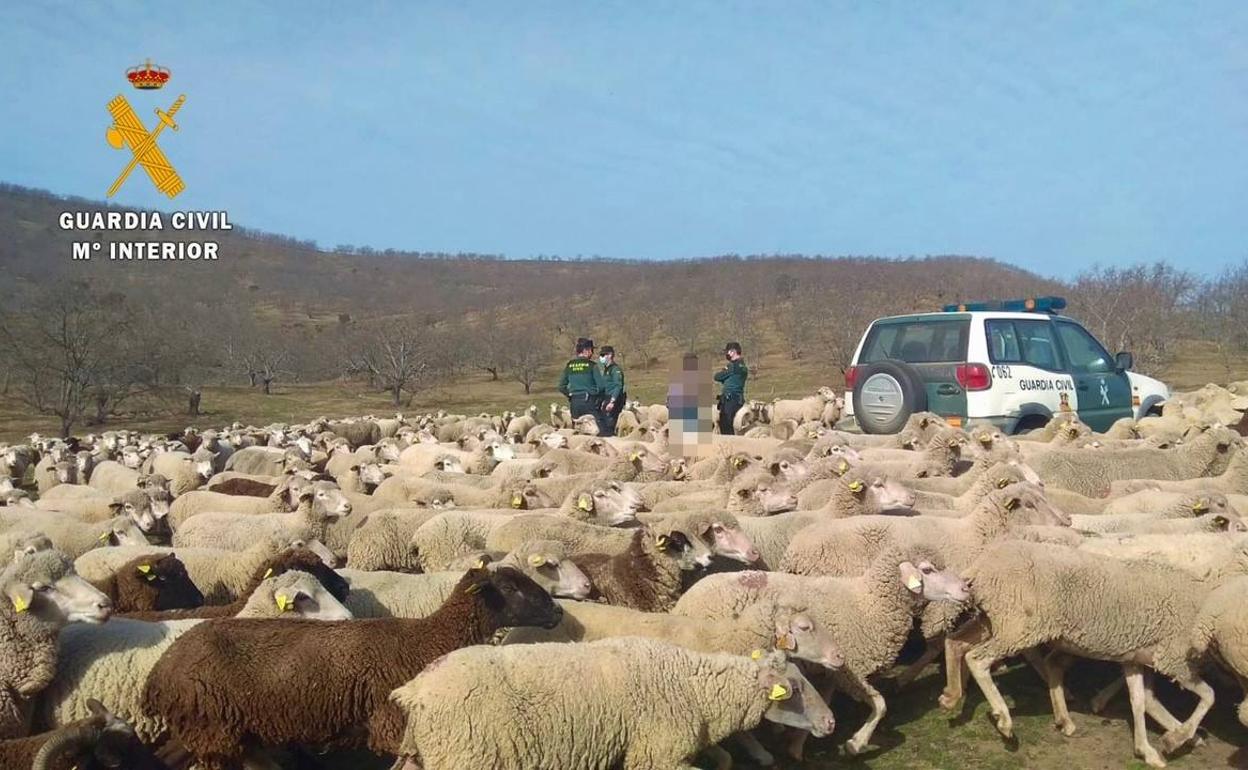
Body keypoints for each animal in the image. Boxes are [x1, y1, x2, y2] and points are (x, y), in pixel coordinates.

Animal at [141, 566, 563, 765]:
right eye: (509, 588)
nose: (558, 611)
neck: (426, 639)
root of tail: (161, 670)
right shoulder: (391, 724)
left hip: (205, 727)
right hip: (211, 727)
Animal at [389, 638, 835, 770]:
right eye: (795, 687)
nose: (830, 723)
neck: (696, 689)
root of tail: (416, 690)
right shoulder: (657, 756)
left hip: (424, 755)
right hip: (466, 755)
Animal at [674, 548, 970, 756]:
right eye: (928, 569)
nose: (966, 587)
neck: (867, 604)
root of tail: (685, 600)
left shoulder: (832, 670)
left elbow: (823, 699)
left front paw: (797, 745)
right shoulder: (851, 669)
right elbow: (881, 704)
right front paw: (855, 744)